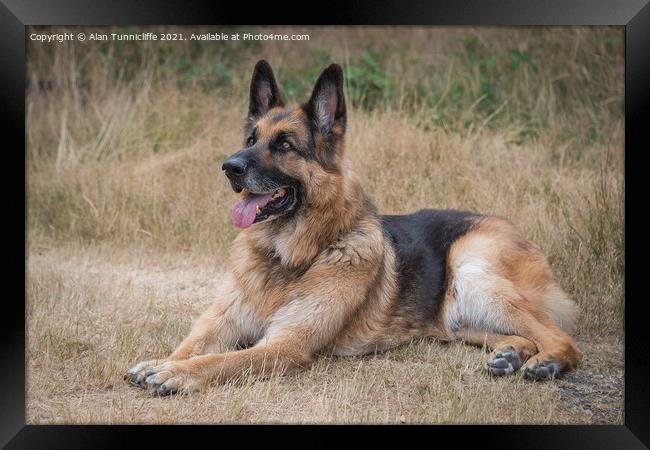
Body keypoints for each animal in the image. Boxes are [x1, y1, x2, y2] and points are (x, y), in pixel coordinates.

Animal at [124, 60, 580, 394]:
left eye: (284, 145)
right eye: (251, 139)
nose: (229, 167)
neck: (288, 257)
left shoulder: (285, 344)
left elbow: (219, 360)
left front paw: (174, 374)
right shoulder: (221, 321)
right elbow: (191, 345)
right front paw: (162, 362)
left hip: (474, 270)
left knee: (562, 338)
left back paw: (546, 361)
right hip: (456, 320)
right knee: (518, 333)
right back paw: (511, 354)